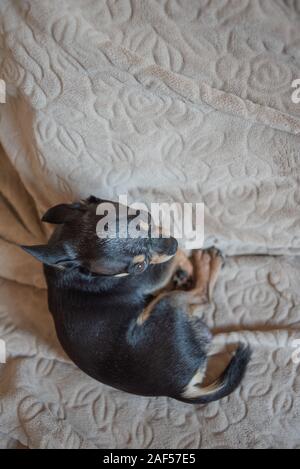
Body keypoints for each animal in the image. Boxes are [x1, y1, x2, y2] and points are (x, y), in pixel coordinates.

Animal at [22, 196, 250, 404]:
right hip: (165, 305)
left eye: (146, 216)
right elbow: (172, 261)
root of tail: (177, 391)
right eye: (139, 267)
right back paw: (206, 262)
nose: (173, 244)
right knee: (203, 297)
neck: (77, 272)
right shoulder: (152, 275)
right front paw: (186, 258)